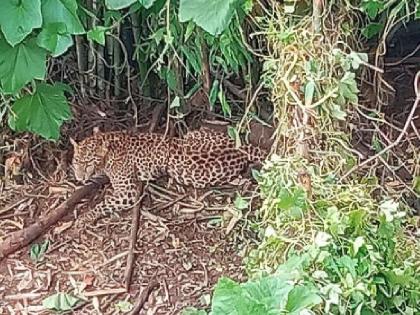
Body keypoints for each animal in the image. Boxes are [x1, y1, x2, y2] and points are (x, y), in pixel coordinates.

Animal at [69, 128, 266, 215]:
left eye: (88, 163)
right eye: (76, 161)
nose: (79, 178)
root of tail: (238, 147)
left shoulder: (128, 193)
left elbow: (102, 205)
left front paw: (84, 219)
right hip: (190, 134)